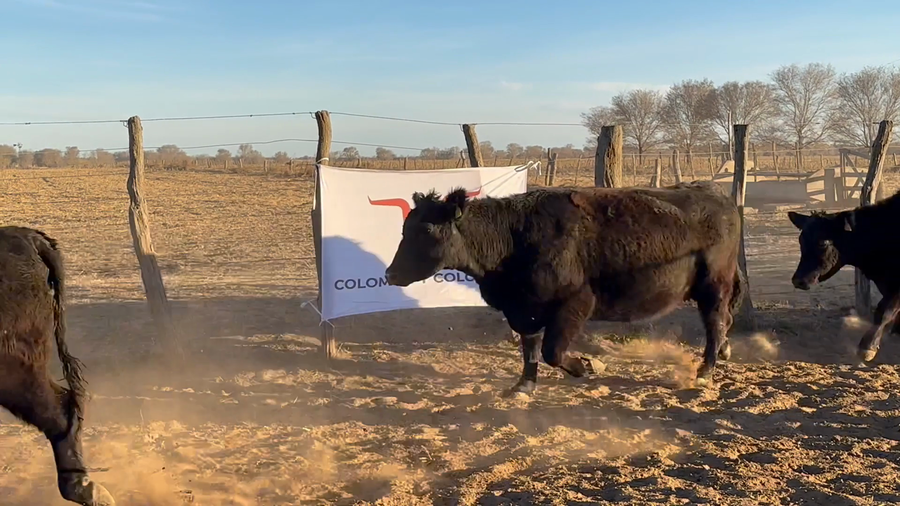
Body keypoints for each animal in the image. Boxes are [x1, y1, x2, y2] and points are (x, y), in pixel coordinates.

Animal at [384, 181, 746, 395]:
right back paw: (724, 353)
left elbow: (552, 351)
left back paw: (705, 371)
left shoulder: (575, 301)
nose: (390, 273)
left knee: (715, 322)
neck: (514, 237)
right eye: (404, 228)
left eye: (427, 230)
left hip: (714, 282)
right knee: (723, 321)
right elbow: (530, 347)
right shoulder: (523, 308)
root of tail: (714, 192)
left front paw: (585, 366)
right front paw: (523, 385)